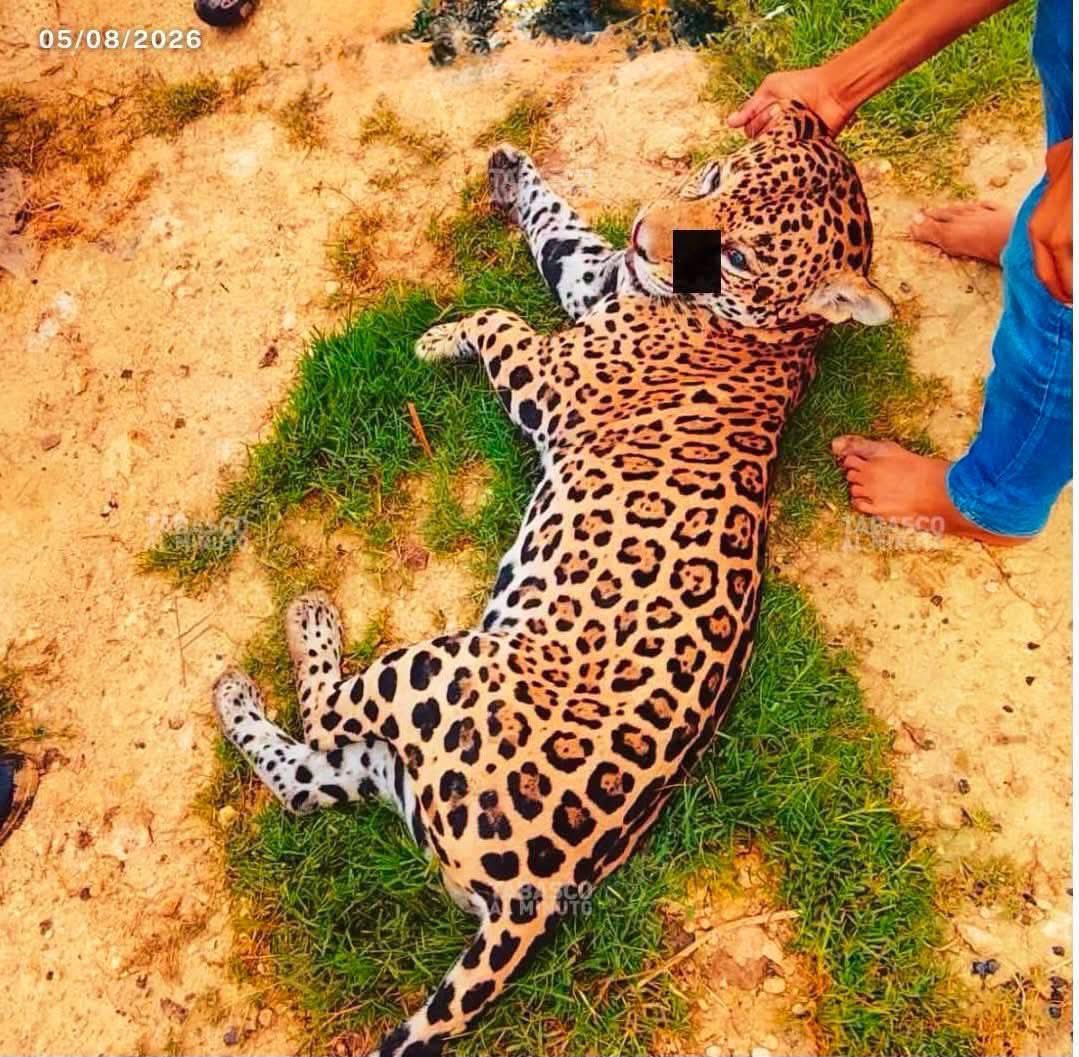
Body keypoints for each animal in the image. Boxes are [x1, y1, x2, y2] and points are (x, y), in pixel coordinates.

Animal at [213, 101, 892, 1057]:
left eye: (741, 255)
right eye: (714, 177)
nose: (647, 231)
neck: (771, 334)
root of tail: (530, 901)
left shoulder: (551, 375)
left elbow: (500, 315)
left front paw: (436, 337)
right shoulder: (597, 278)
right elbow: (558, 231)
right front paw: (510, 174)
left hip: (444, 669)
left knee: (325, 713)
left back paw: (309, 620)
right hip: (391, 770)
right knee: (302, 780)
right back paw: (235, 693)